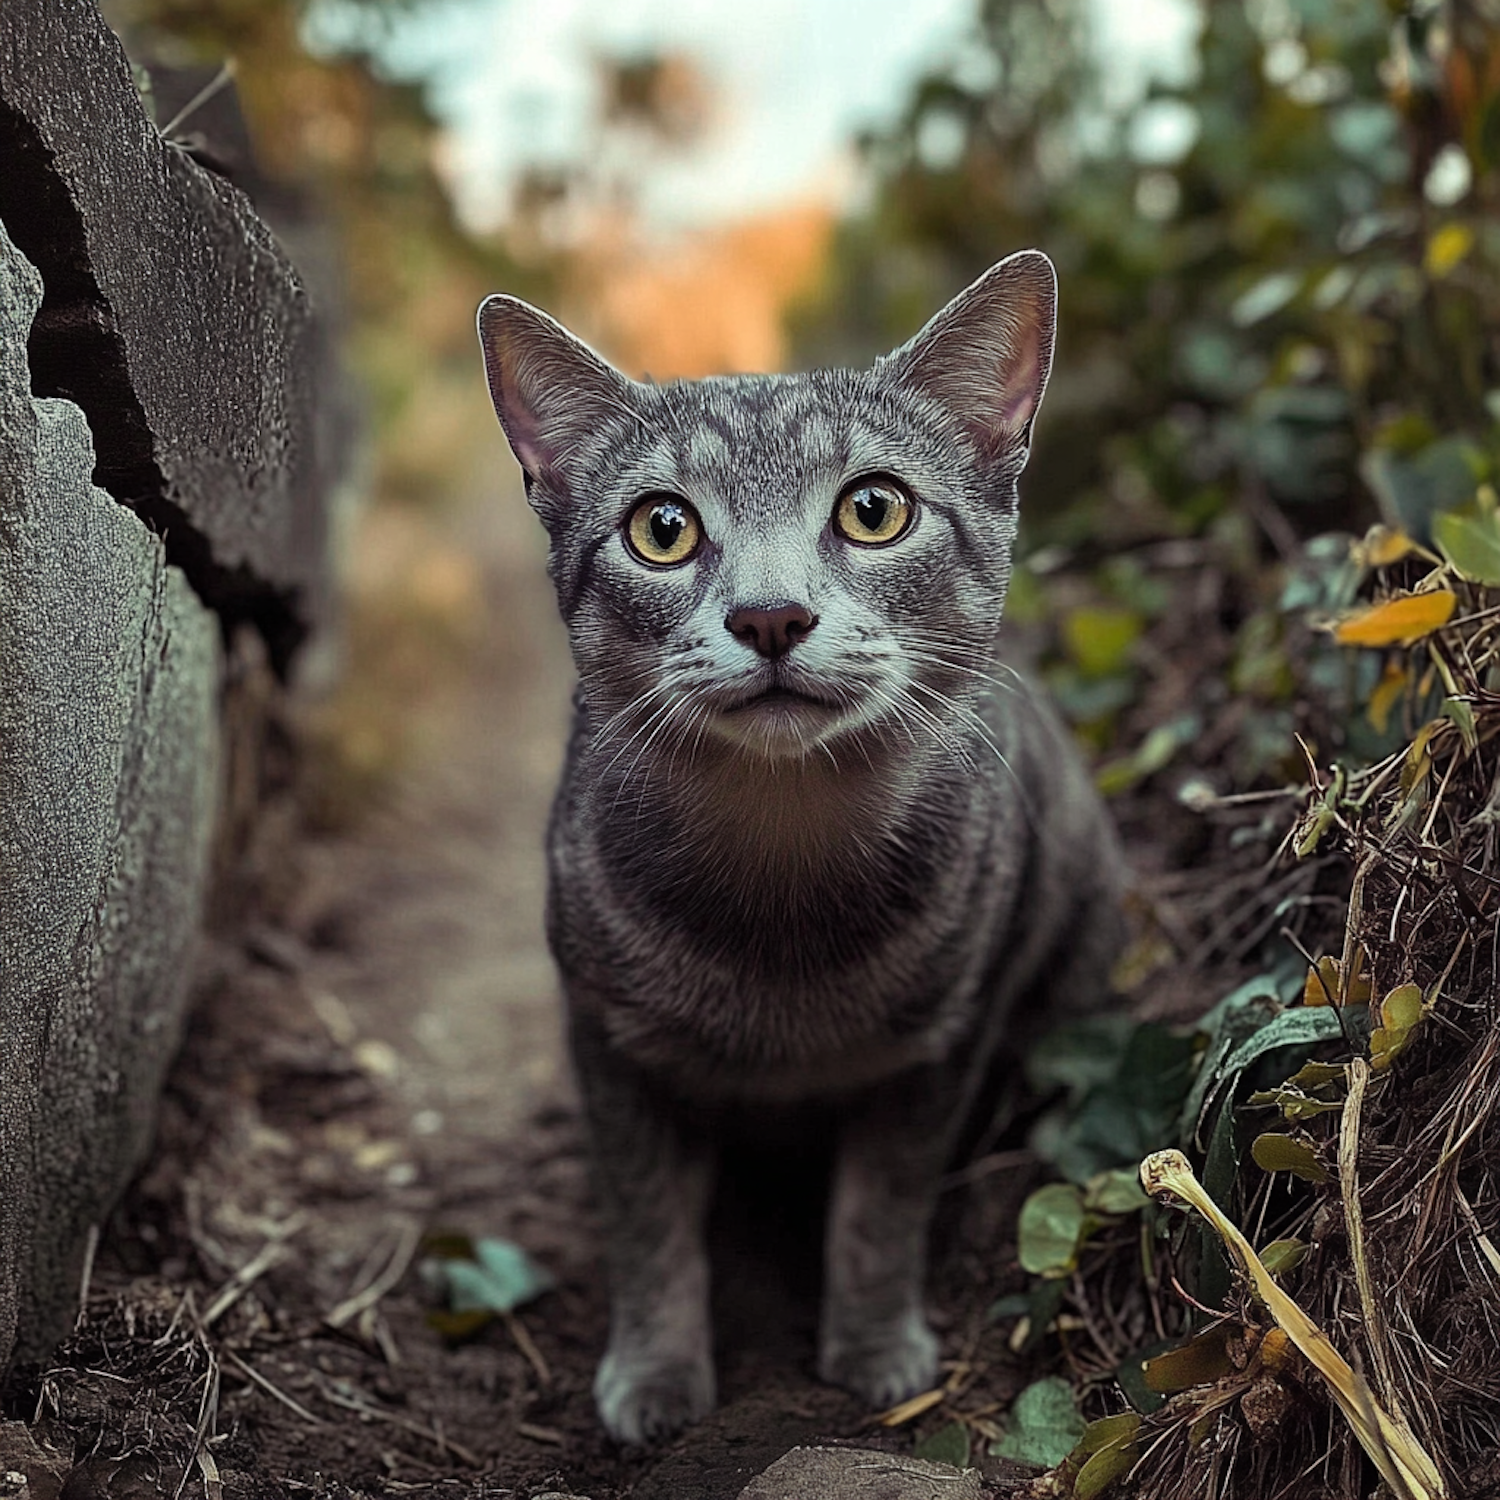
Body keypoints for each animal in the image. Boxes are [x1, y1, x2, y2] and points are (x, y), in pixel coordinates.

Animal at [474, 252, 1122, 1446]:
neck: (783, 865)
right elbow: (648, 1224)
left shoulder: (935, 1049)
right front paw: (656, 1370)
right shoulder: (609, 1044)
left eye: (874, 509)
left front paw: (874, 1347)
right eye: (662, 528)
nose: (770, 616)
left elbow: (880, 1209)